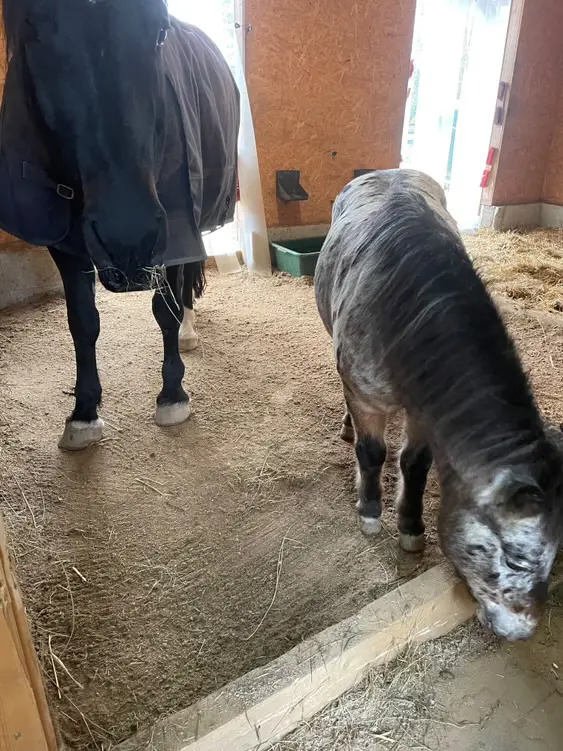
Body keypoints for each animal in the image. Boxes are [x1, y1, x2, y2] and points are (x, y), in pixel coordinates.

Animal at [0, 0, 240, 449]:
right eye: (34, 27)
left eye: (160, 31)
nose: (129, 242)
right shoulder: (65, 241)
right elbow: (83, 323)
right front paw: (84, 413)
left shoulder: (174, 228)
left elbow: (164, 310)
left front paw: (173, 396)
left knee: (185, 281)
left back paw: (188, 329)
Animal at [314, 168, 563, 641]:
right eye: (516, 558)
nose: (522, 632)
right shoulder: (365, 396)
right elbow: (372, 453)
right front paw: (370, 512)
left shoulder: (424, 411)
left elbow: (415, 463)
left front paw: (411, 527)